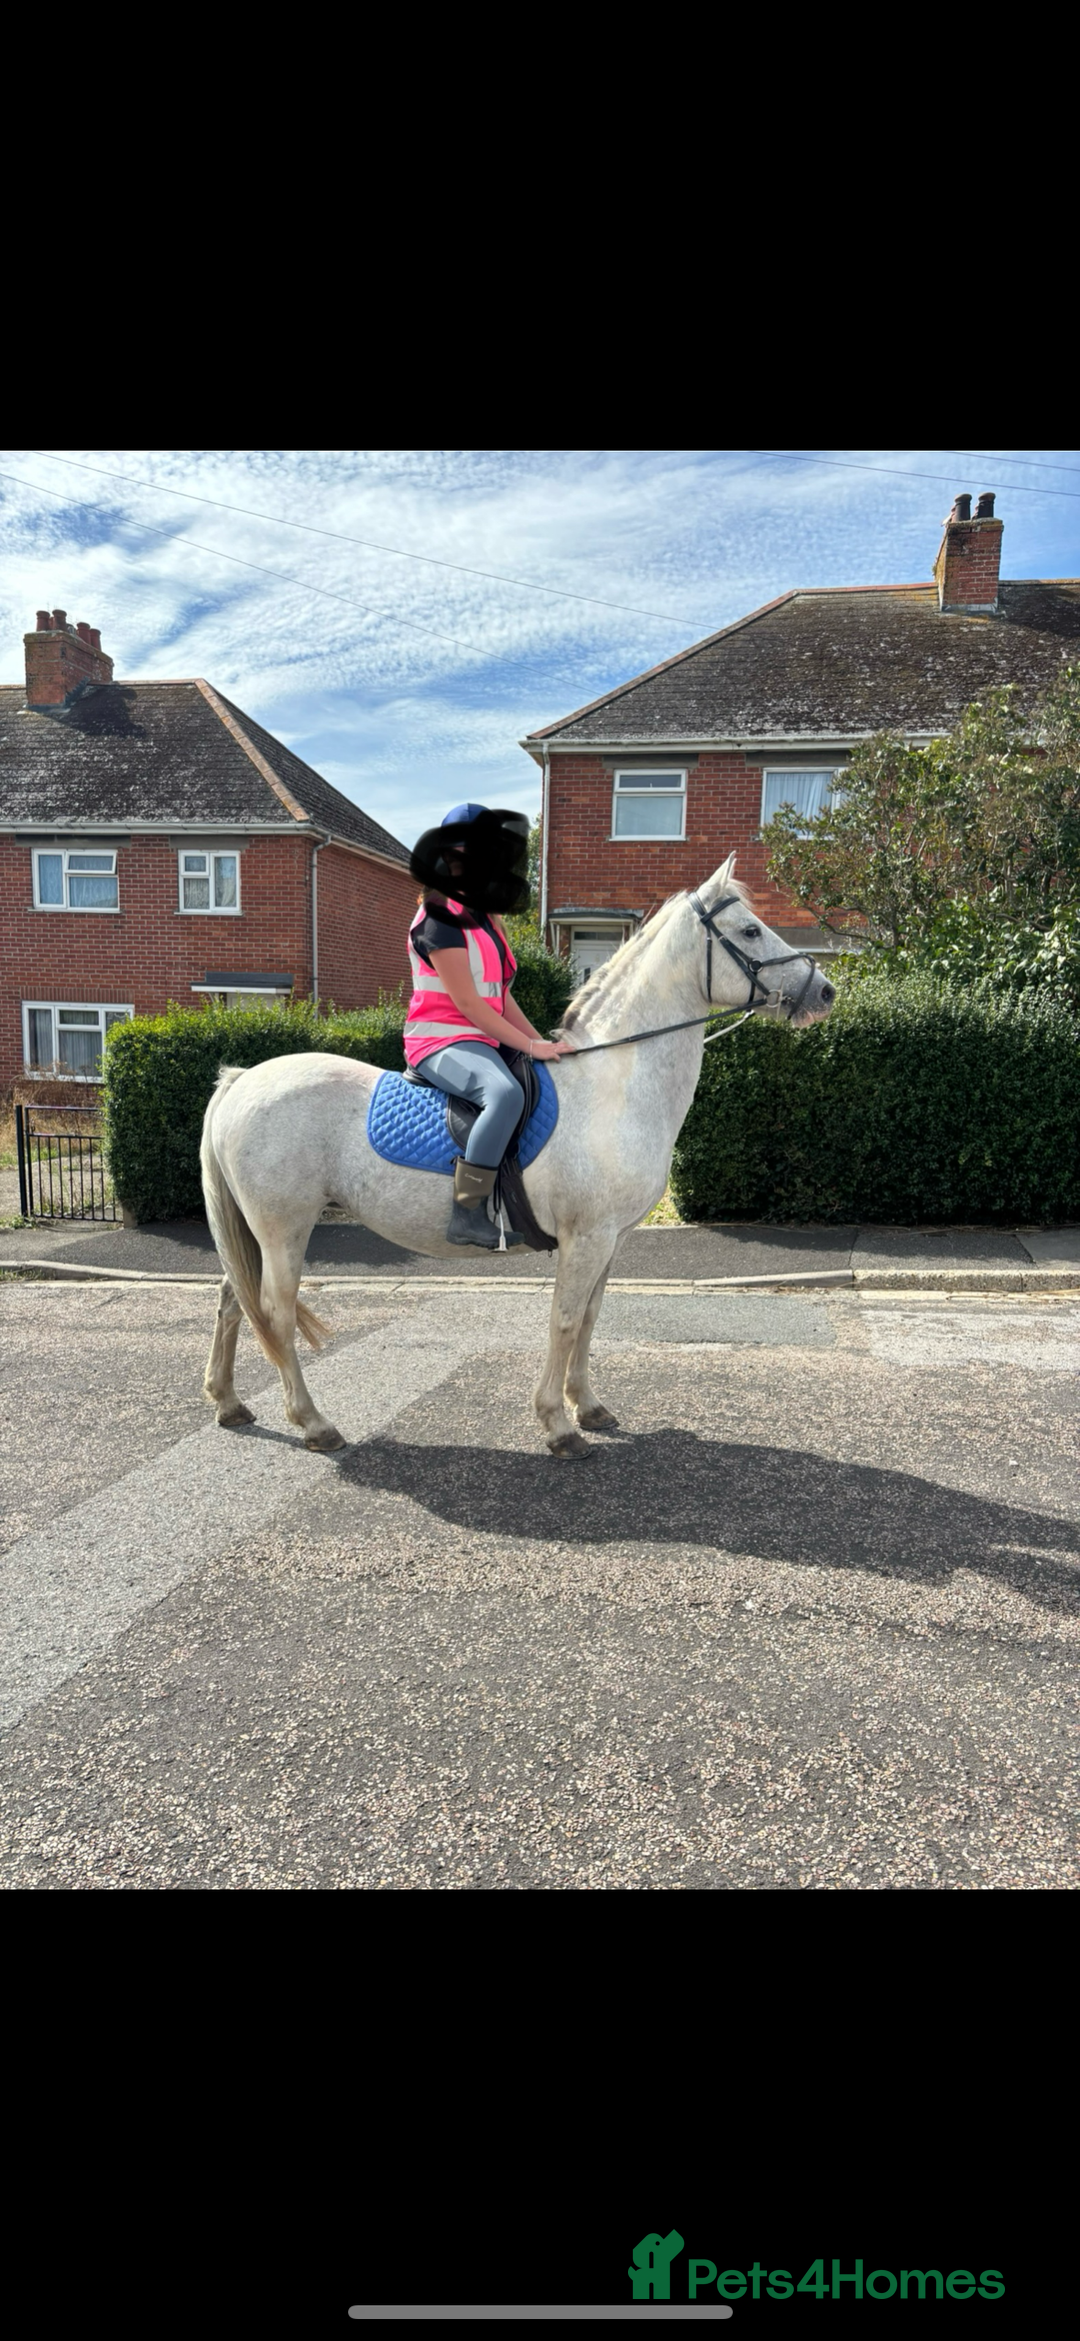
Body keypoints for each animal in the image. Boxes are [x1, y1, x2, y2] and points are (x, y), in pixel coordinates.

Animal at [199, 856, 835, 1458]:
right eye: (750, 930)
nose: (825, 991)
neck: (610, 1086)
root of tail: (241, 1079)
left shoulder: (611, 1239)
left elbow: (590, 1319)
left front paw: (589, 1406)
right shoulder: (586, 1238)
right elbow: (564, 1321)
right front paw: (558, 1426)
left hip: (258, 1233)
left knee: (233, 1300)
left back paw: (228, 1404)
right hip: (284, 1228)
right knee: (275, 1313)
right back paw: (314, 1423)